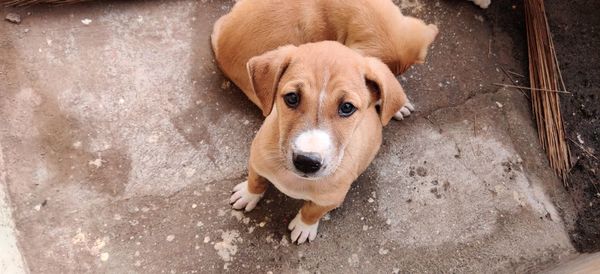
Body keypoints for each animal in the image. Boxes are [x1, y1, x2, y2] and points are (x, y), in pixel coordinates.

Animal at [226, 40, 408, 242]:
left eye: (347, 107)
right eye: (292, 97)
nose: (306, 161)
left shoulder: (331, 198)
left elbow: (312, 212)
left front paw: (303, 227)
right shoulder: (257, 160)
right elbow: (255, 181)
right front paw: (248, 195)